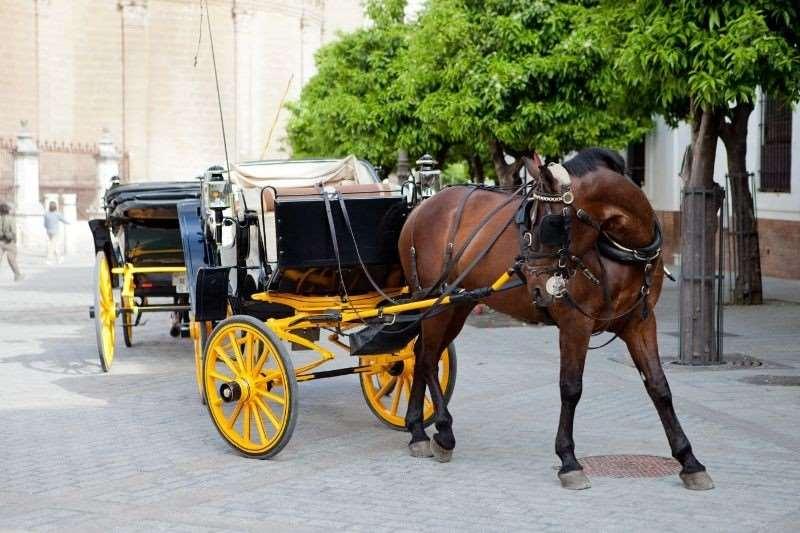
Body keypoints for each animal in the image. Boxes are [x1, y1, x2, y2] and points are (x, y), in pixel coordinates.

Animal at [396, 148, 716, 488]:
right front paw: (568, 460)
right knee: (427, 359)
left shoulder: (640, 322)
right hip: (436, 303)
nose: (537, 287)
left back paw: (417, 429)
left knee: (421, 354)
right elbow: (571, 388)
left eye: (549, 224)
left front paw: (689, 460)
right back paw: (443, 431)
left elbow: (659, 387)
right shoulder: (576, 323)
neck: (623, 248)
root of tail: (422, 207)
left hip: (458, 304)